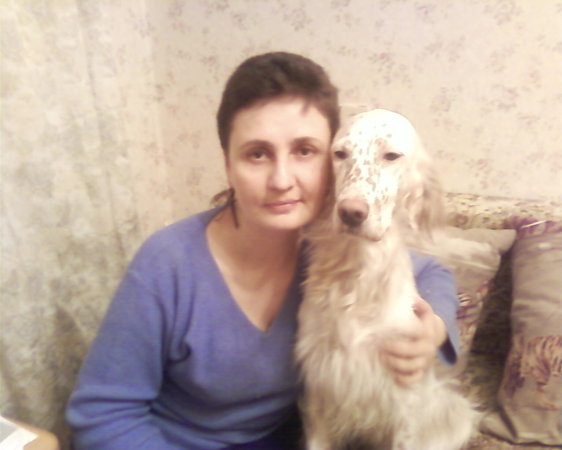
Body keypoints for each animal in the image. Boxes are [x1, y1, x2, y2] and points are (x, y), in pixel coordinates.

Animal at [295, 109, 477, 450]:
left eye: (391, 156)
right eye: (339, 154)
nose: (350, 212)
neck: (358, 277)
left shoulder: (404, 406)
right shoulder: (320, 390)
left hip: (455, 411)